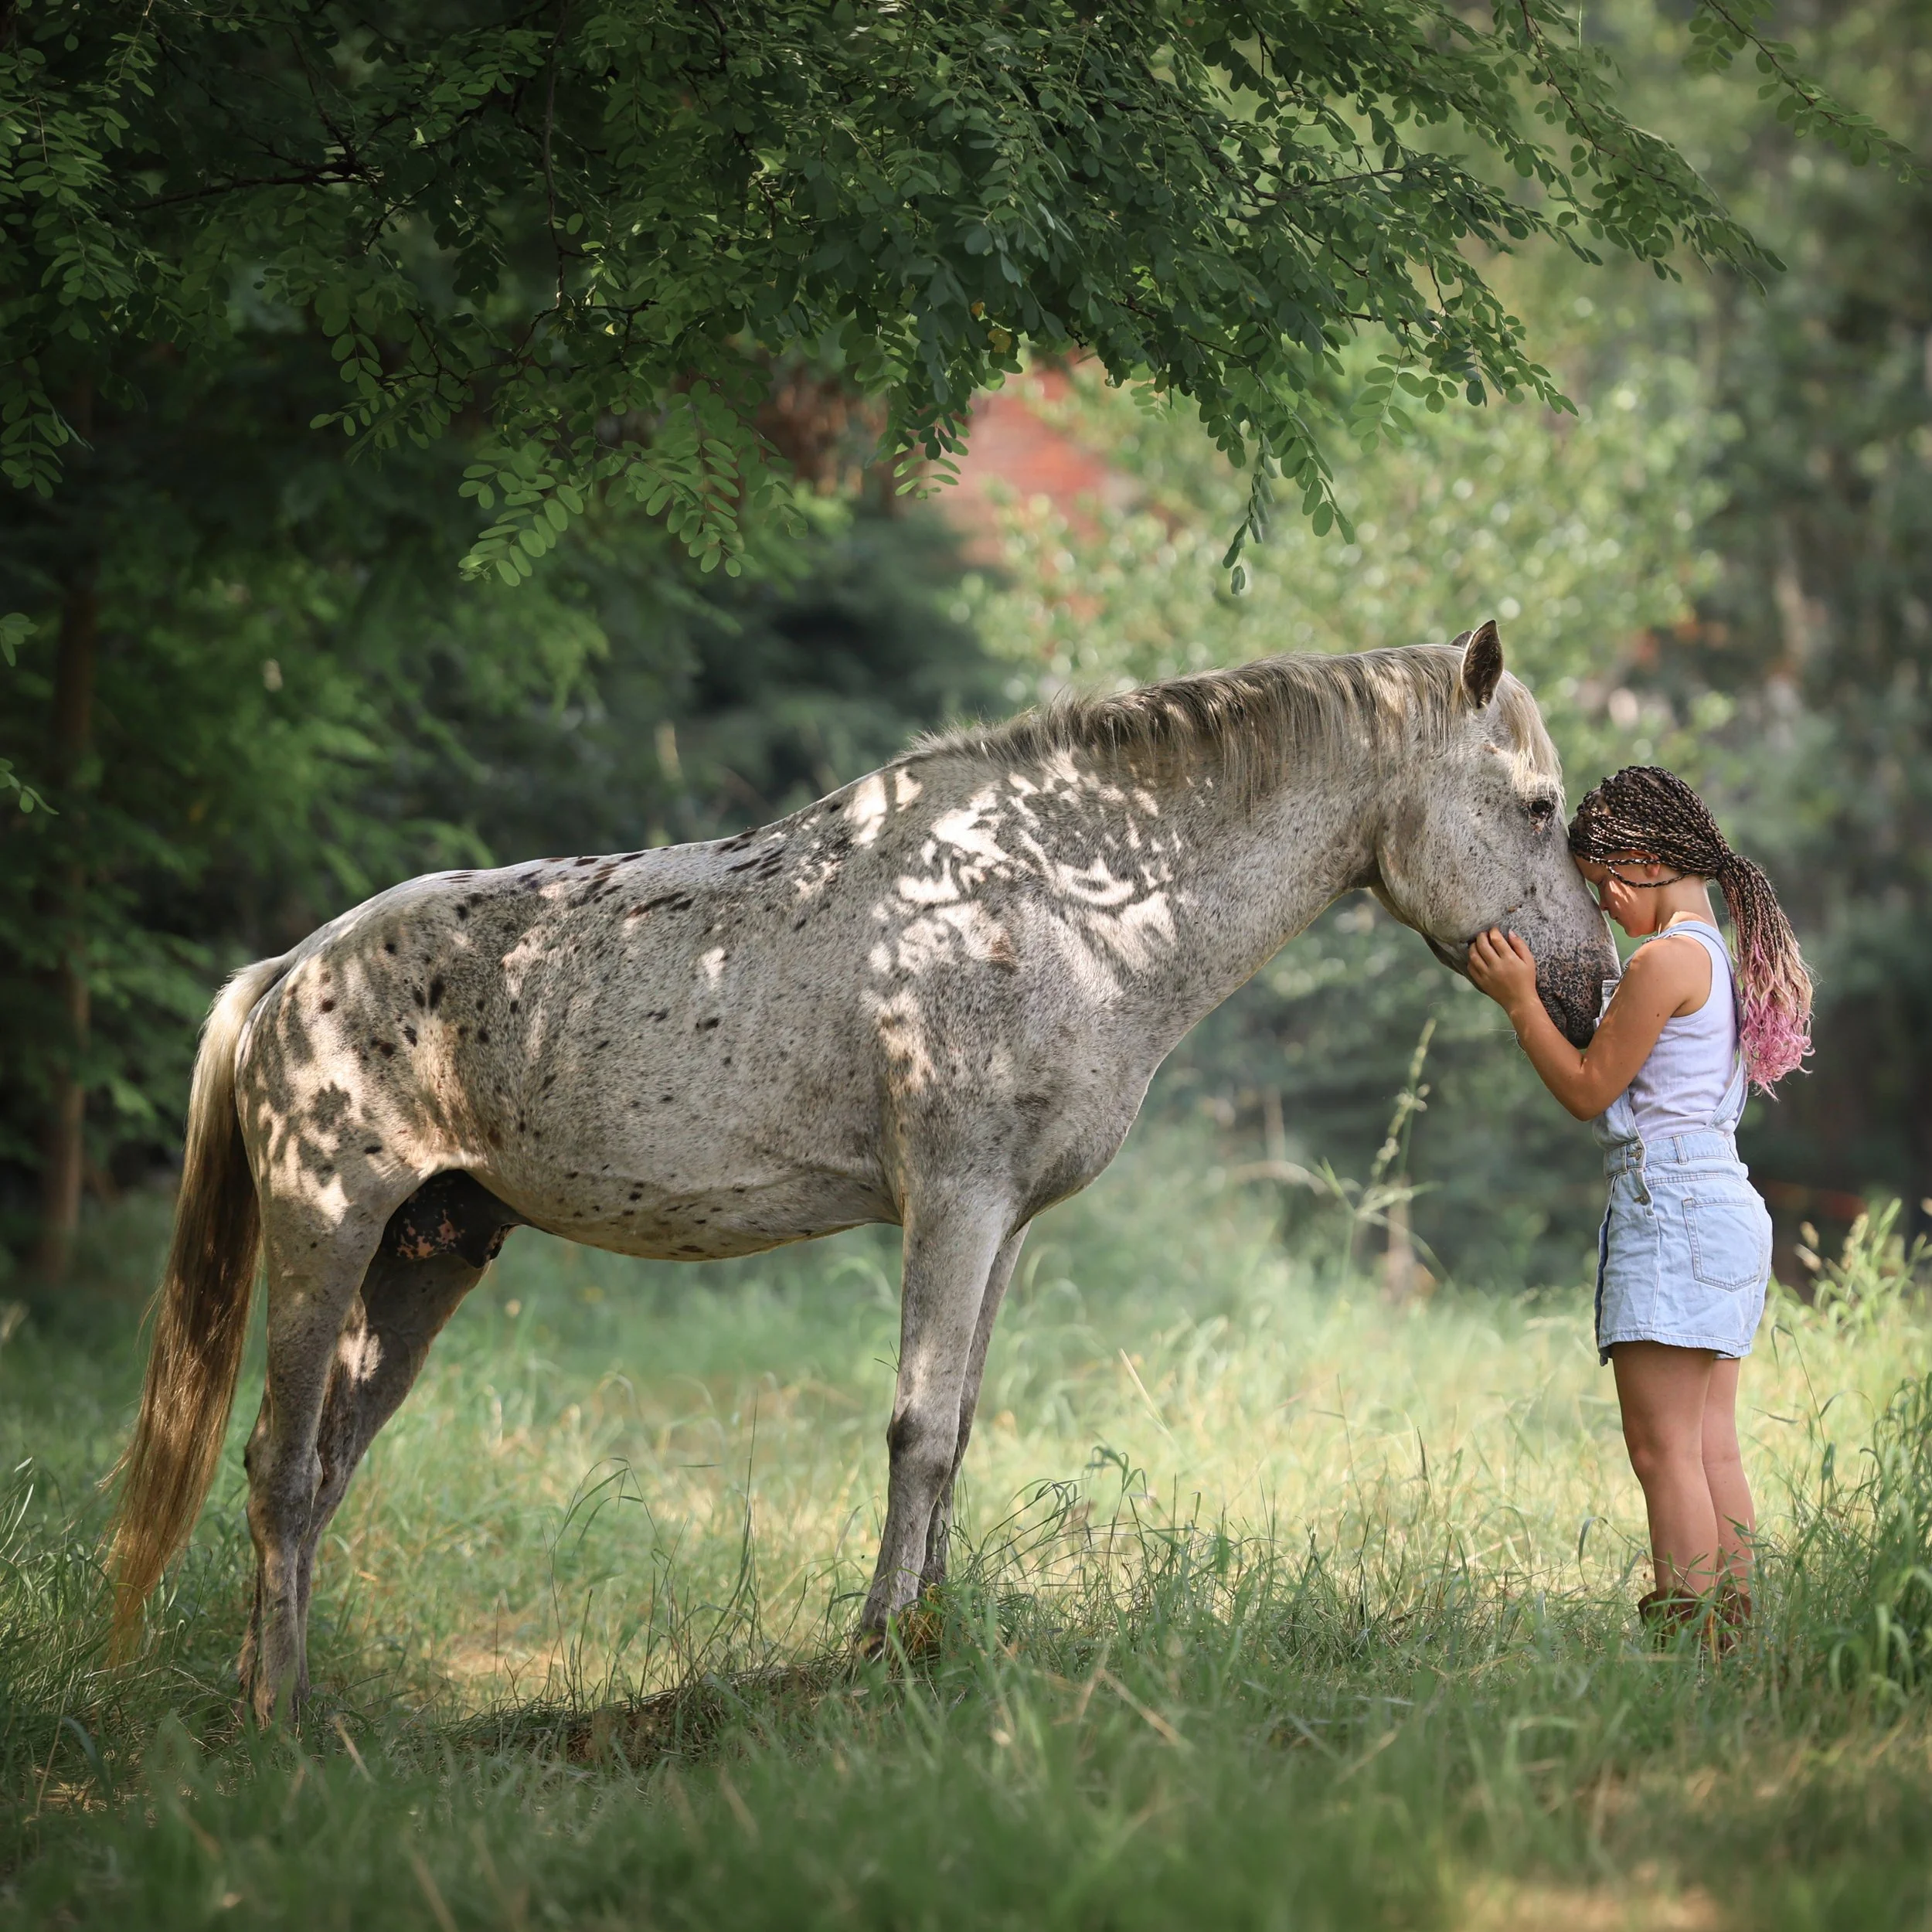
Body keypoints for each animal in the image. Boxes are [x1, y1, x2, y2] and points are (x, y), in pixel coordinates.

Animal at [108, 623, 1616, 1722]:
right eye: (1538, 805)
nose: (1594, 986)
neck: (1061, 899)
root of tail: (291, 972)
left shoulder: (1006, 1223)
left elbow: (962, 1429)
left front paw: (932, 1636)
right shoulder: (950, 1202)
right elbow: (918, 1430)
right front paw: (884, 1648)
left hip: (425, 1259)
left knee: (327, 1466)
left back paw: (281, 1697)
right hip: (326, 1232)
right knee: (280, 1464)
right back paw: (275, 1720)